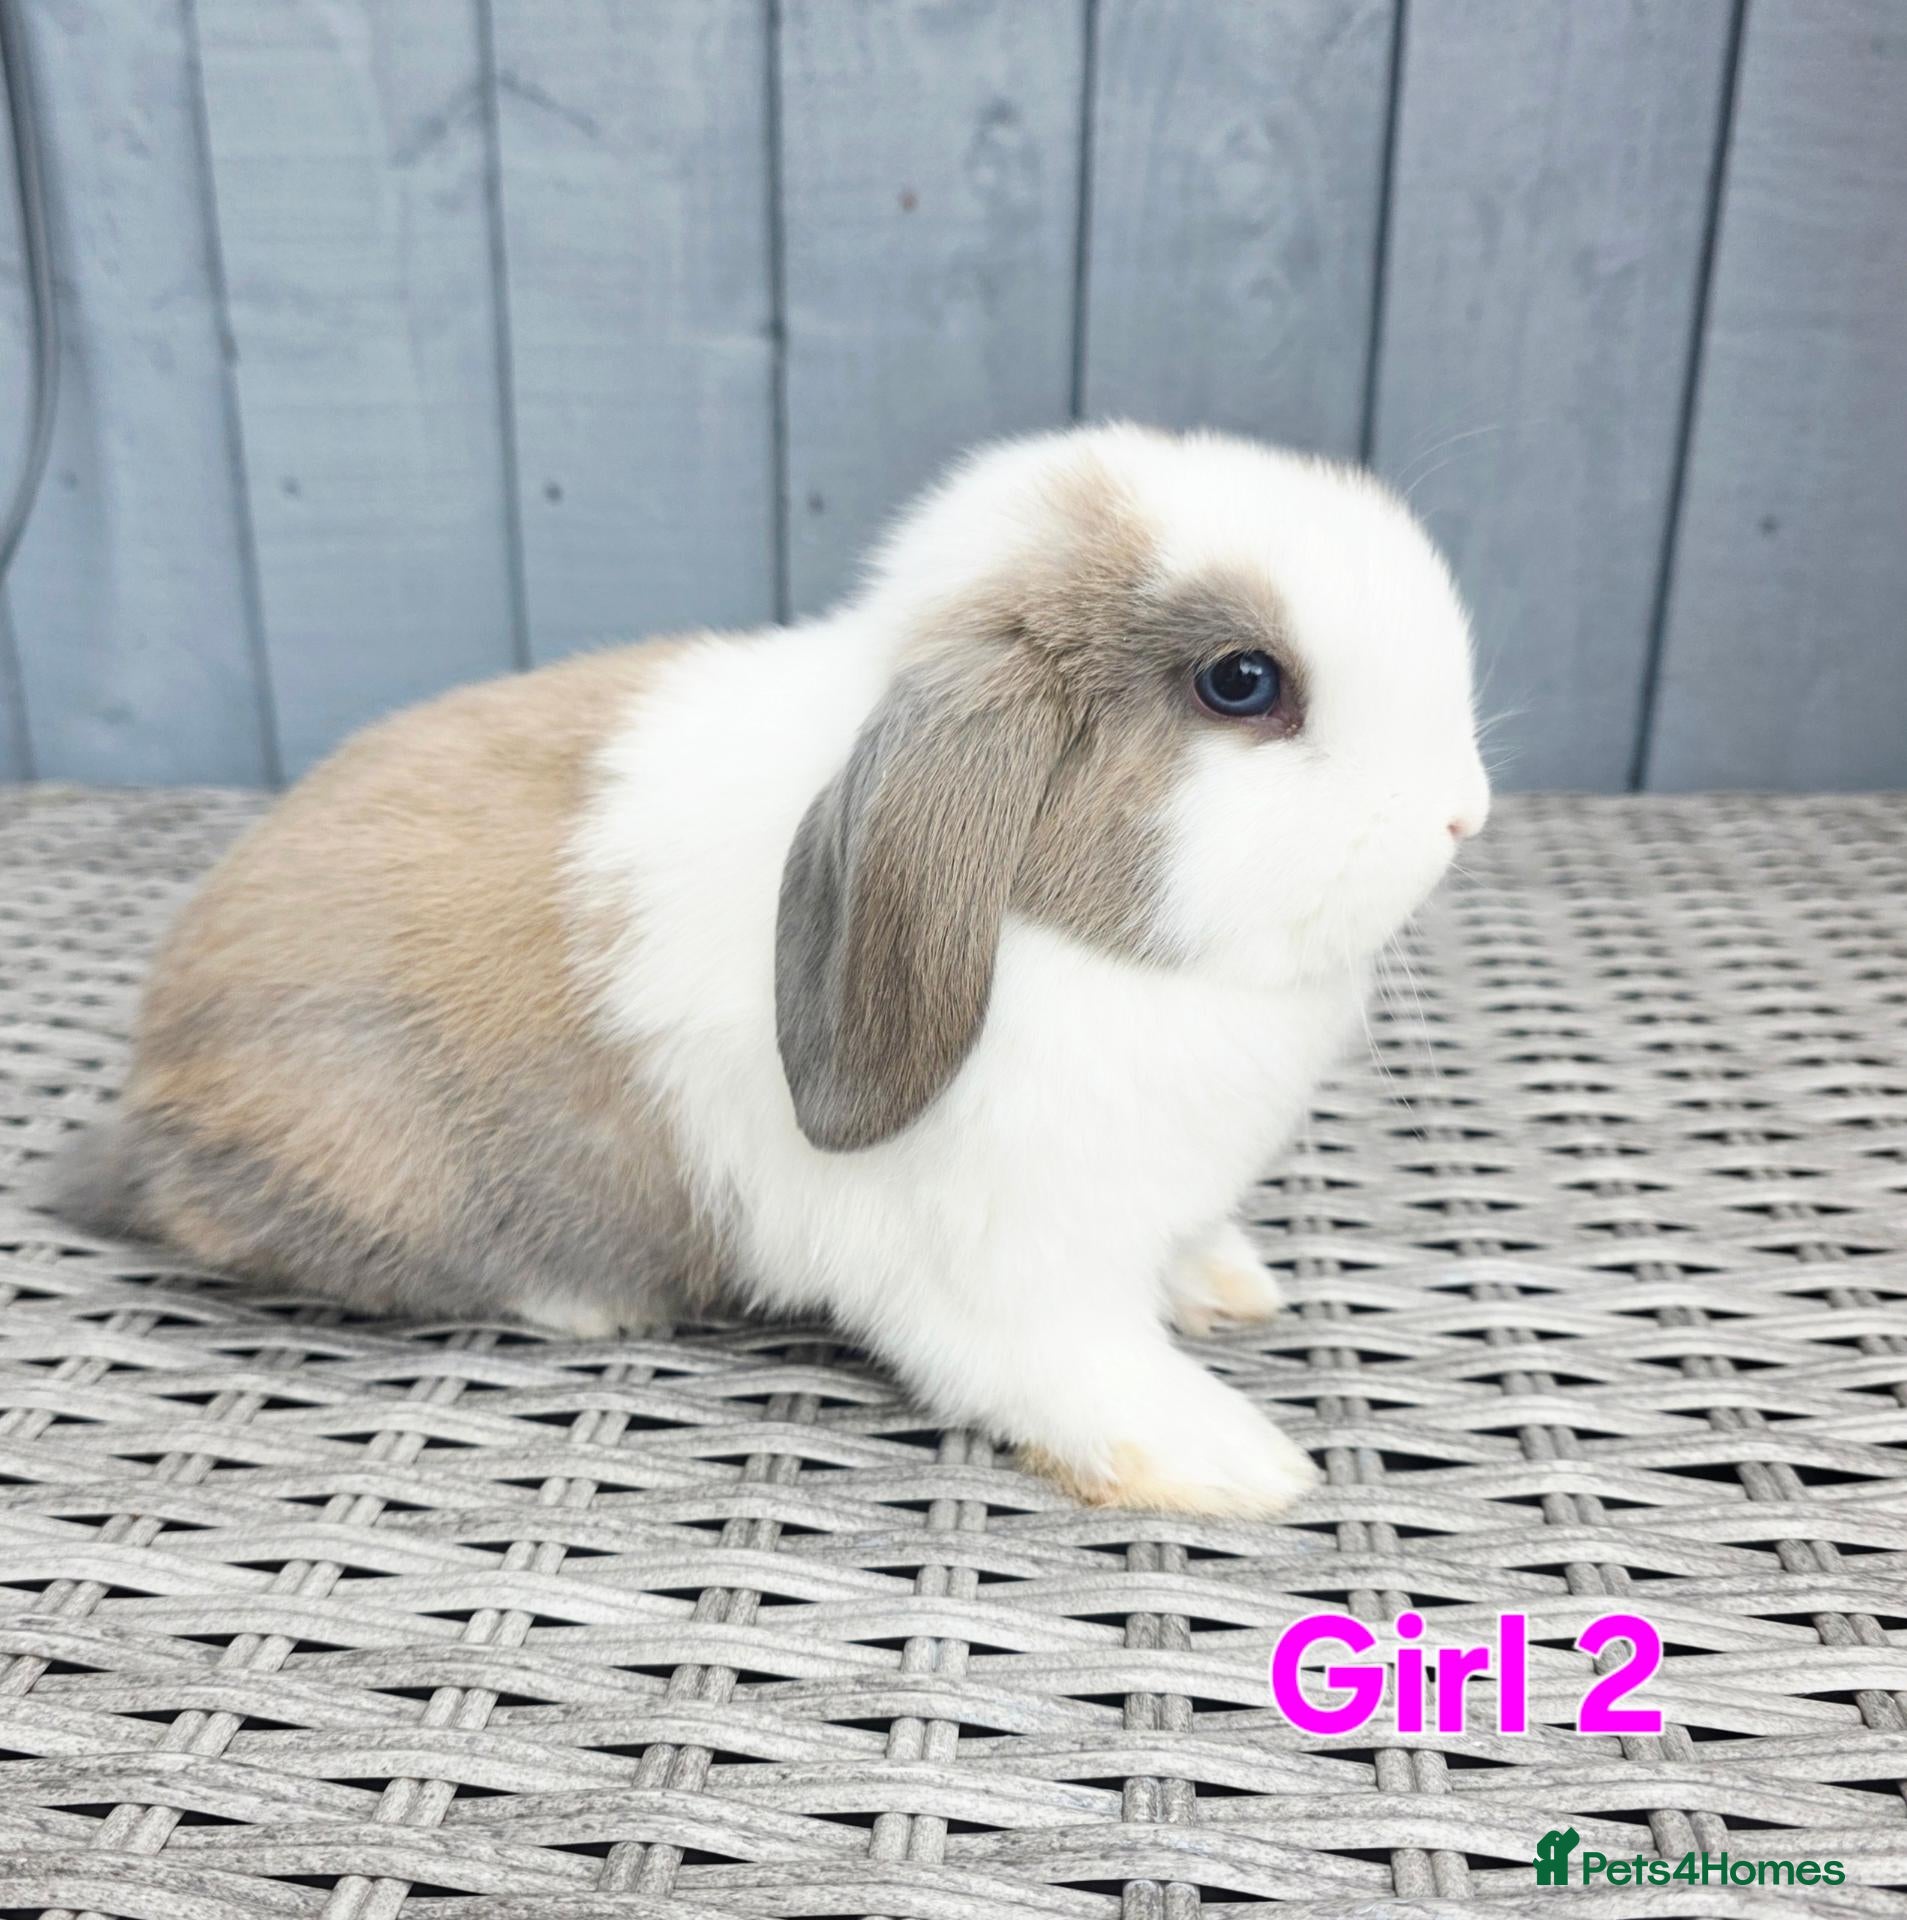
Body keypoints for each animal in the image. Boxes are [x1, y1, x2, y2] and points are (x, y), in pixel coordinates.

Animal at [54, 423, 1488, 1517]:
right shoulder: (1012, 1276)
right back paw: (582, 1305)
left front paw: (1229, 1284)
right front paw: (1234, 1463)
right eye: (1241, 683)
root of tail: (141, 1110)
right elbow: (1081, 1372)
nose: (1464, 813)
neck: (1058, 939)